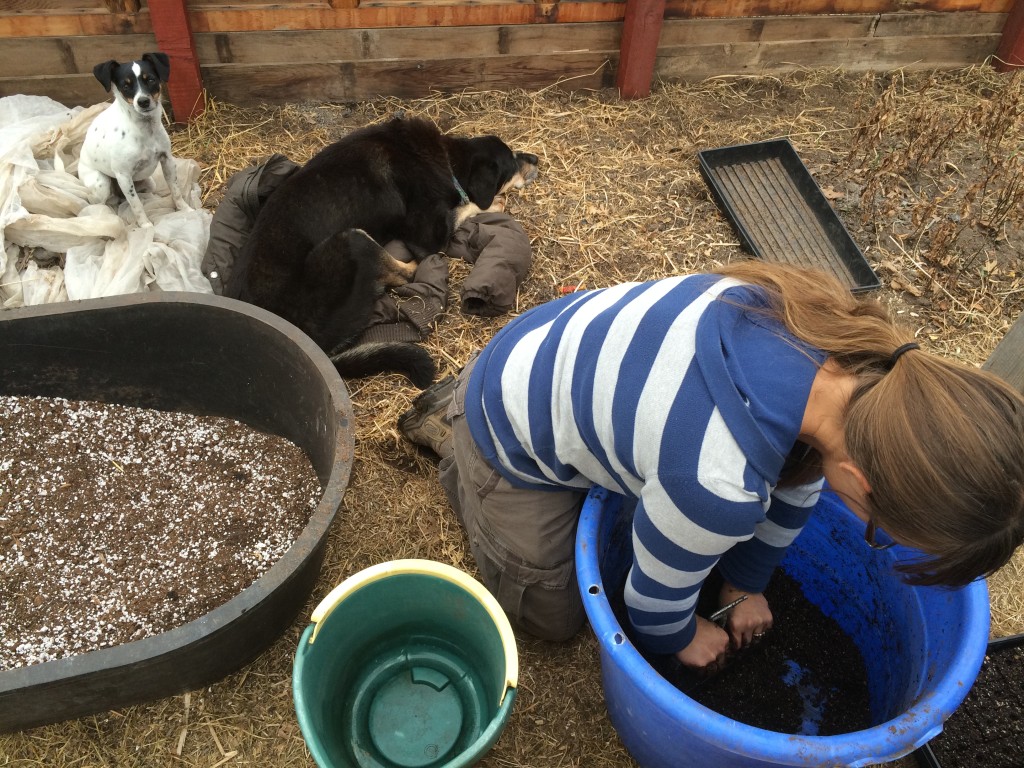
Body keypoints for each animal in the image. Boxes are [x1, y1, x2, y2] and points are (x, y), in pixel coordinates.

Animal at [226, 116, 544, 387]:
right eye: (512, 161)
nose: (536, 158)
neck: (448, 159)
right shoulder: (428, 237)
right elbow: (467, 207)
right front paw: (494, 202)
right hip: (351, 239)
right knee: (407, 273)